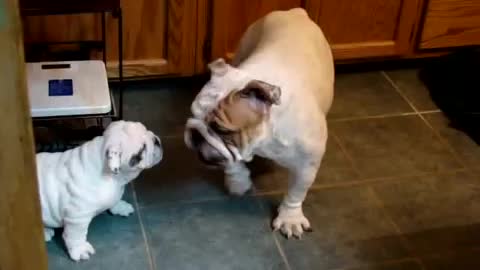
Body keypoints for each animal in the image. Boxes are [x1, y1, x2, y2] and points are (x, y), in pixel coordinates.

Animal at [36, 120, 163, 260]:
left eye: (147, 130)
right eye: (142, 148)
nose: (156, 140)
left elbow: (115, 201)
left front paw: (121, 207)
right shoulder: (77, 217)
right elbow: (75, 235)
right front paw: (80, 249)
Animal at [184, 7, 334, 237]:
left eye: (222, 130)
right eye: (193, 113)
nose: (195, 132)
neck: (264, 135)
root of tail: (296, 12)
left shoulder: (307, 163)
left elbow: (296, 191)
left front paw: (290, 218)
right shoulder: (233, 151)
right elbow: (232, 162)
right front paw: (238, 181)